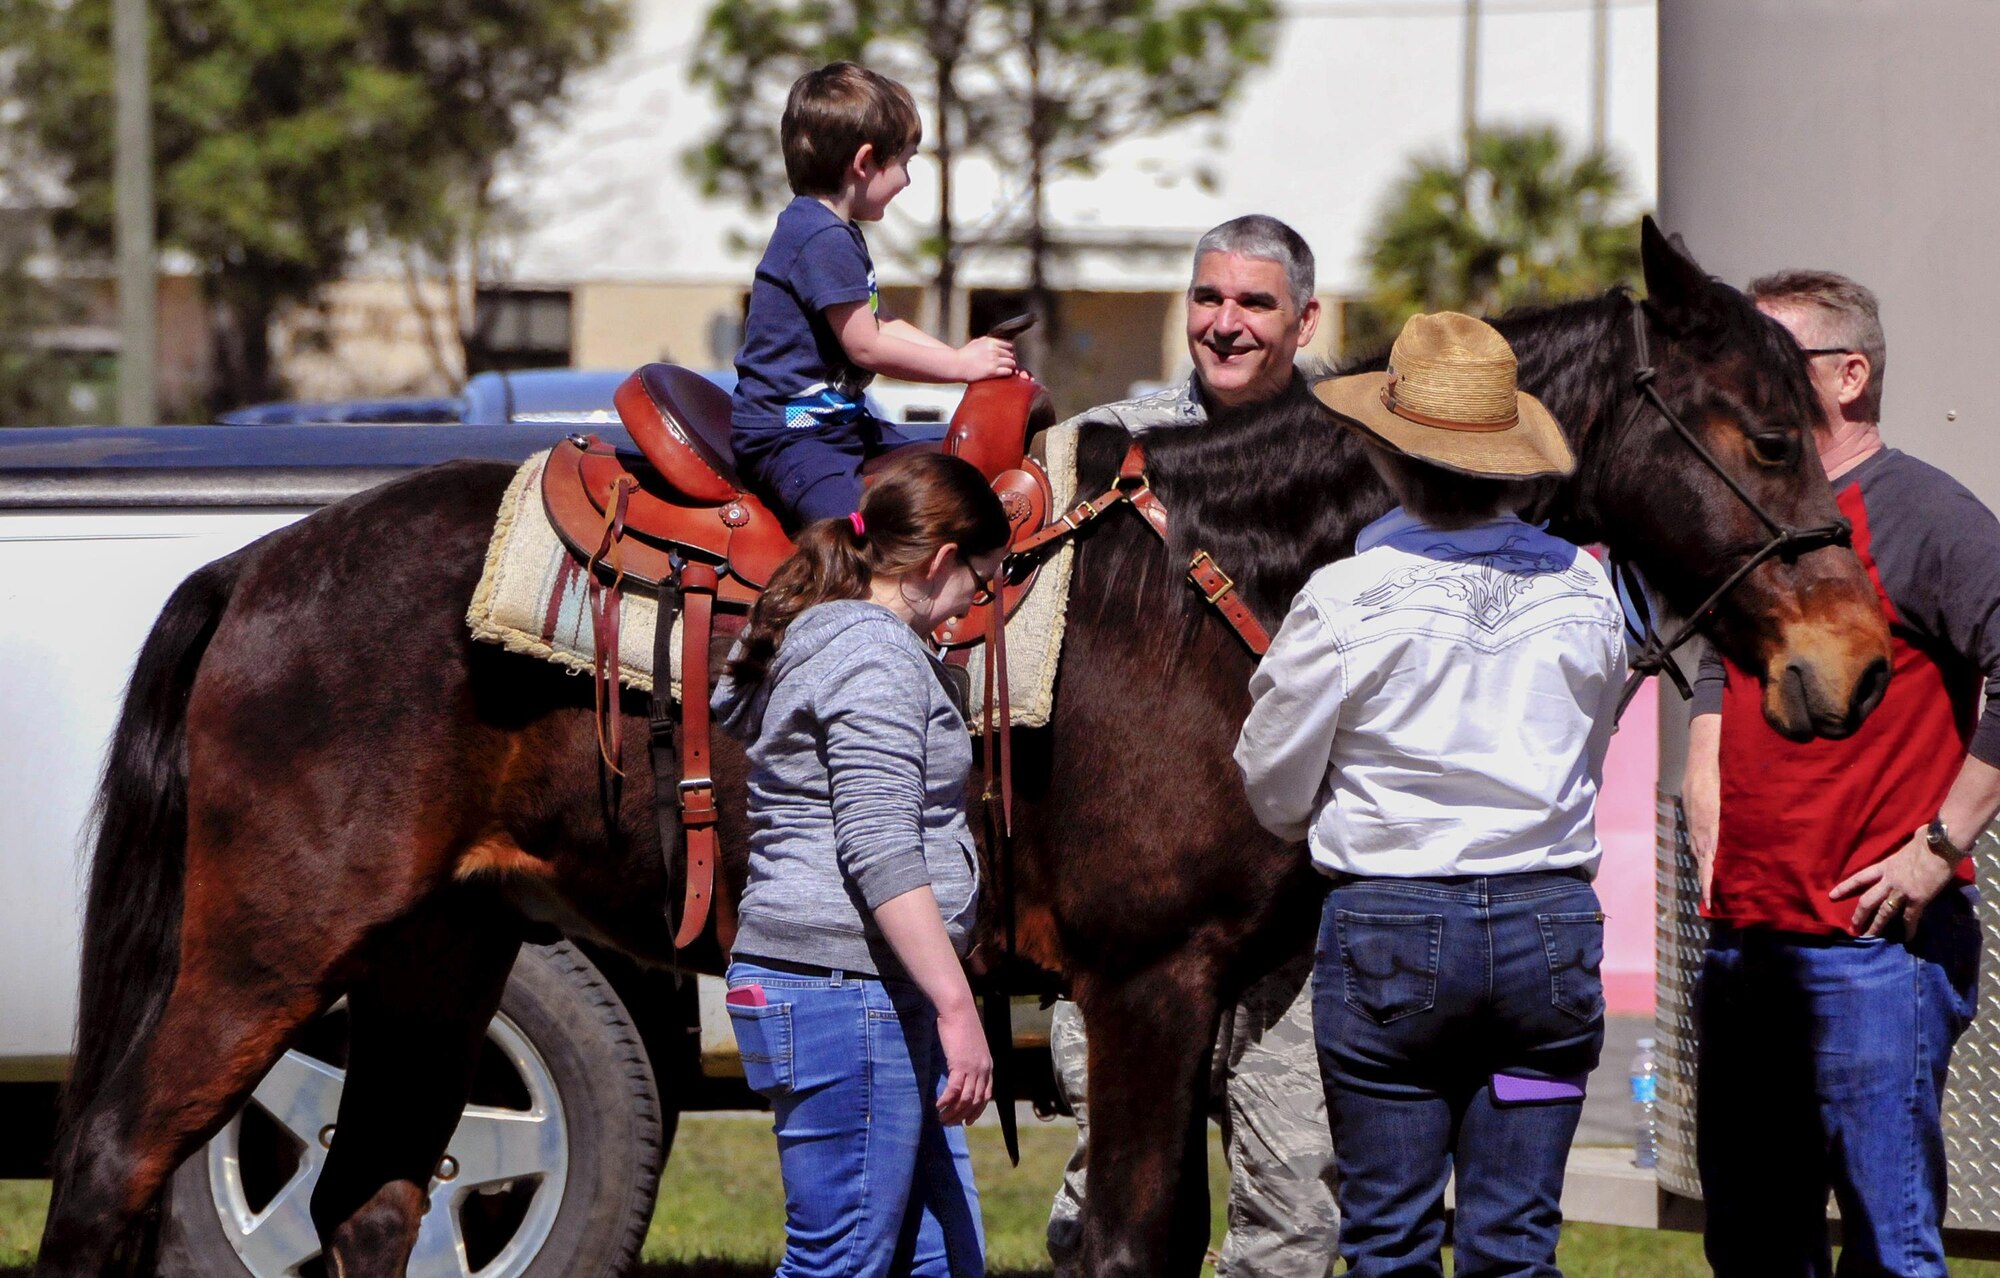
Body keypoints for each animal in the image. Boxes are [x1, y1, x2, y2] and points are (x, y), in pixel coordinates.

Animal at [39, 222, 1888, 1278]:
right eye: (1766, 433)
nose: (1855, 665)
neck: (1224, 587)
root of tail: (255, 569)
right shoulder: (1145, 981)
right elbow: (1131, 1236)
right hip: (270, 941)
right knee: (115, 1163)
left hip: (437, 947)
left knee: (368, 1196)